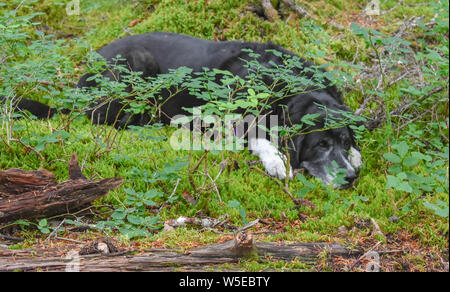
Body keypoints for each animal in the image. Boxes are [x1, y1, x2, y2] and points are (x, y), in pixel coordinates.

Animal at [2, 32, 362, 187]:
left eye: (343, 142)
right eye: (320, 144)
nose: (350, 179)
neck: (287, 83)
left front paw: (357, 157)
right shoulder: (231, 114)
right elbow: (257, 134)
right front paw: (276, 161)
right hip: (134, 68)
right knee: (105, 120)